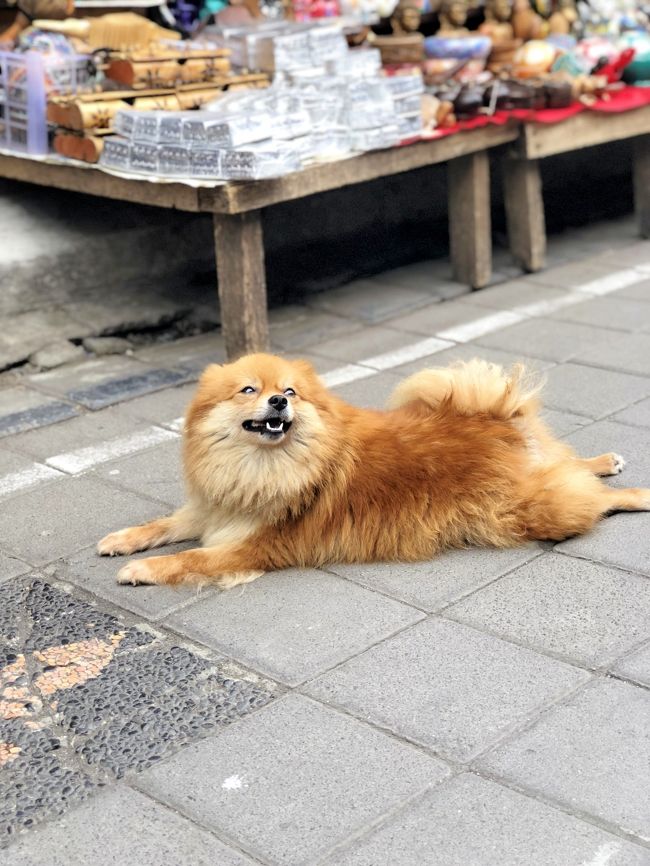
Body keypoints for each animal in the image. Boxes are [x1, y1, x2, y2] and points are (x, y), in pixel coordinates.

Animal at [96, 352, 648, 588]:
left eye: (290, 391)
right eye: (248, 390)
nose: (278, 401)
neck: (261, 468)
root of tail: (495, 415)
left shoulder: (253, 546)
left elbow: (189, 558)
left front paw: (142, 570)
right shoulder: (213, 507)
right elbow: (161, 525)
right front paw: (122, 540)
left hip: (526, 509)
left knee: (592, 498)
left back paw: (638, 493)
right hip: (536, 480)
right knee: (570, 465)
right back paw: (605, 461)